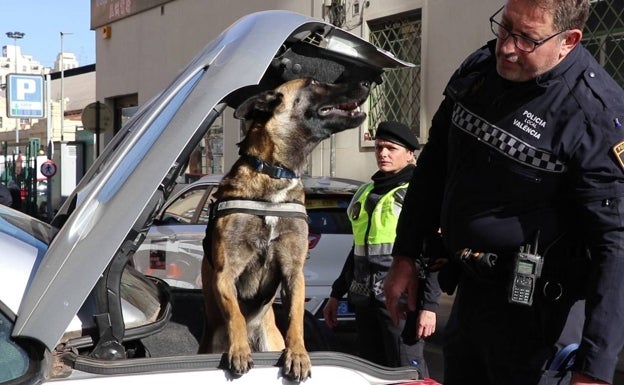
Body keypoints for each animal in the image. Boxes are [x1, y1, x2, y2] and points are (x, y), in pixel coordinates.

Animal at [197, 76, 368, 380]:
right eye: (314, 83)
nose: (365, 82)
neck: (274, 173)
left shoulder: (293, 273)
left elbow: (296, 319)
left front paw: (298, 353)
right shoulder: (225, 273)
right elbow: (236, 315)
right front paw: (239, 348)